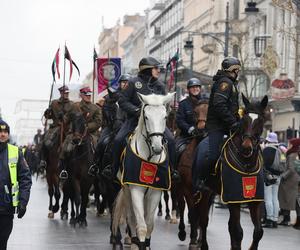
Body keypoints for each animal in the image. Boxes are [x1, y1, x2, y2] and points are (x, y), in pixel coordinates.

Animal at [112, 93, 175, 249]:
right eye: (146, 117)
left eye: (165, 117)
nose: (157, 147)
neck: (149, 157)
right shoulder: (136, 190)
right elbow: (140, 226)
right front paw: (138, 243)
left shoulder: (155, 192)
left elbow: (150, 224)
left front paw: (146, 244)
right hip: (127, 191)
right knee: (131, 218)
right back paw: (132, 241)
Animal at [195, 94, 270, 250]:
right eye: (244, 120)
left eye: (260, 121)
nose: (247, 147)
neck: (247, 164)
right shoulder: (233, 199)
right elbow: (238, 231)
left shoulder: (254, 200)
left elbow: (258, 232)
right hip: (205, 192)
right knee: (203, 220)